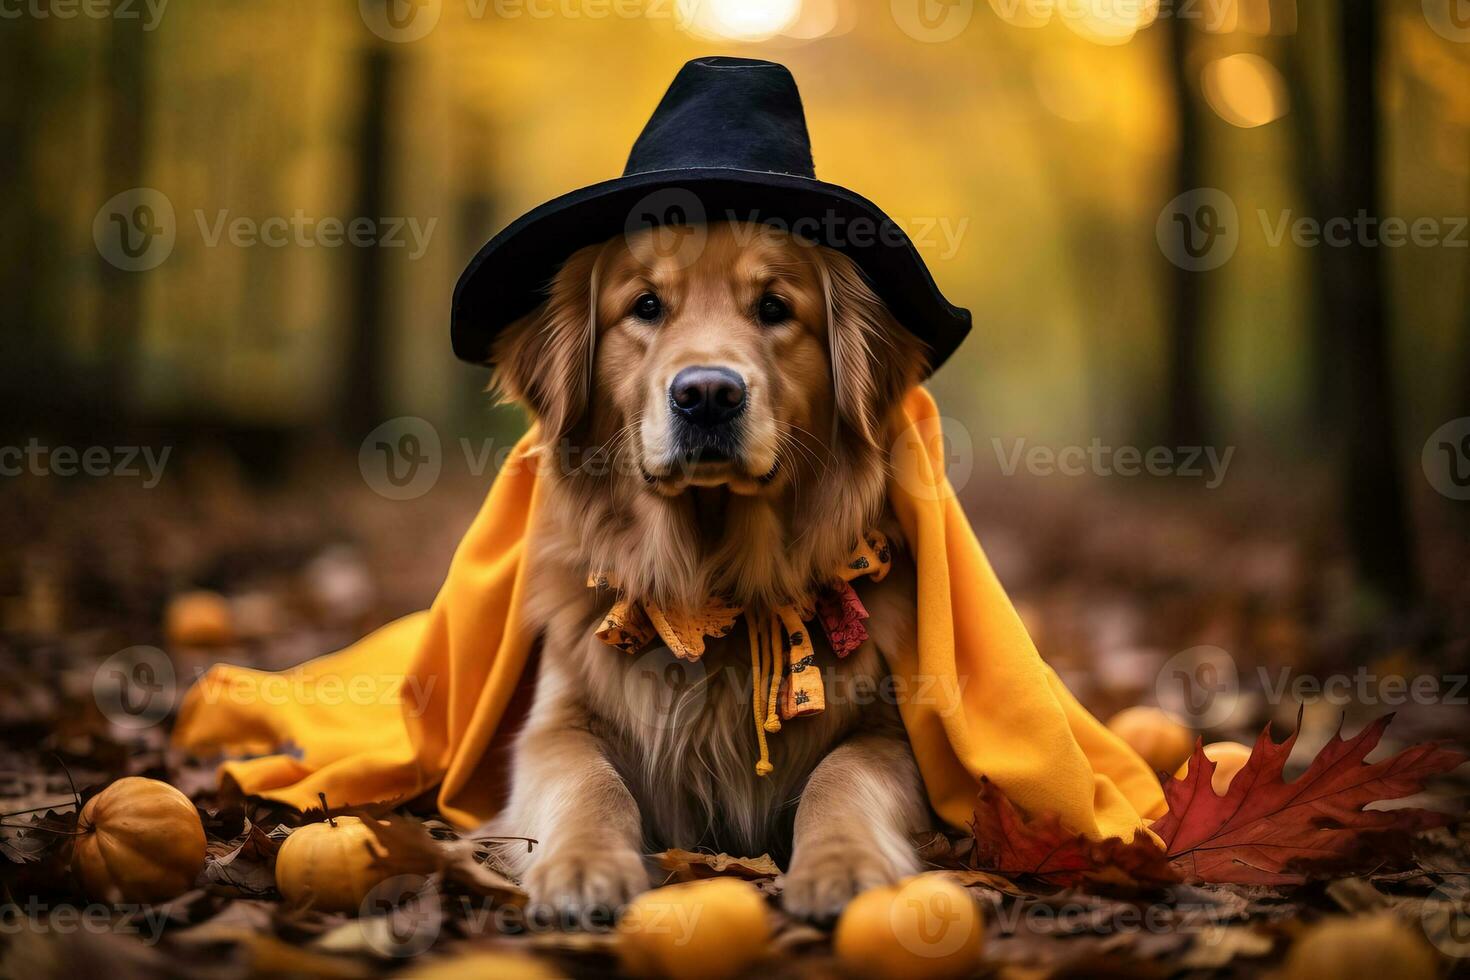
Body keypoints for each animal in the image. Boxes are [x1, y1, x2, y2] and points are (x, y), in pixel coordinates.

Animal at [490, 218, 929, 922]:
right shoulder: (556, 723)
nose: (707, 396)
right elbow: (589, 782)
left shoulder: (890, 730)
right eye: (646, 306)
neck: (713, 589)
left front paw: (843, 864)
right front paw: (584, 865)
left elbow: (842, 775)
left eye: (774, 308)